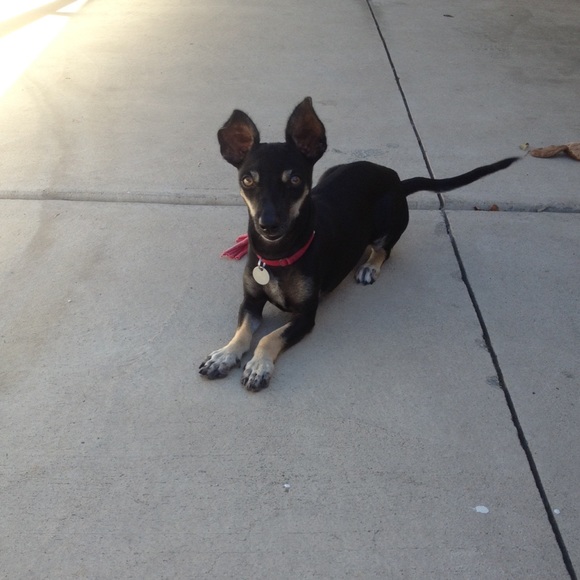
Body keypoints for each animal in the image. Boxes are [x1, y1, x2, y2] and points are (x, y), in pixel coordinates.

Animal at [199, 97, 517, 391]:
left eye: (295, 179)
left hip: (389, 220)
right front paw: (225, 354)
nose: (268, 224)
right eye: (247, 180)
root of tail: (395, 179)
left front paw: (258, 365)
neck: (278, 254)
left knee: (384, 249)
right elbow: (243, 332)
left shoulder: (306, 315)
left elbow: (268, 336)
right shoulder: (250, 301)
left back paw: (369, 267)